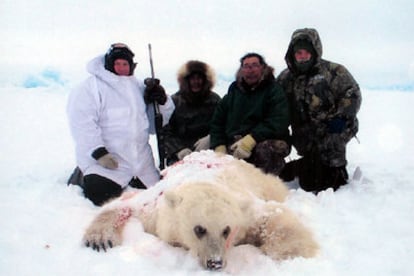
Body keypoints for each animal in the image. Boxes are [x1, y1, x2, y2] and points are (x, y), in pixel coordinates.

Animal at [82, 151, 318, 270]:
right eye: (199, 229)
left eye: (227, 230)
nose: (215, 263)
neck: (203, 181)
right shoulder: (153, 209)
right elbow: (123, 203)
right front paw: (99, 240)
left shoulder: (245, 210)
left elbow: (272, 214)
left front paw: (289, 252)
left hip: (257, 178)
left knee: (274, 187)